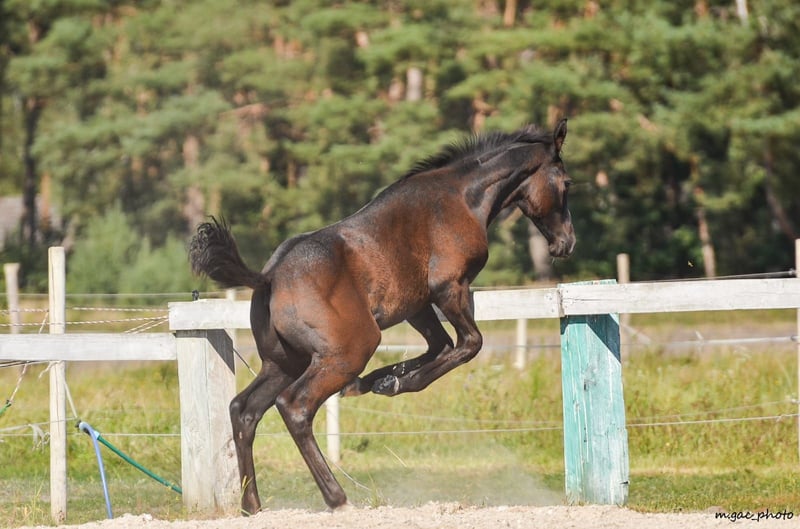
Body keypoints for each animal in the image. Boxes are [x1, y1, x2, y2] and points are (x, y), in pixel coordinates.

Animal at [189, 118, 575, 514]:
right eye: (566, 183)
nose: (566, 243)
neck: (461, 198)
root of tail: (268, 277)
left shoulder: (418, 305)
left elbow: (440, 346)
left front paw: (381, 381)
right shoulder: (449, 288)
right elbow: (469, 344)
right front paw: (396, 382)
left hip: (283, 362)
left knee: (244, 410)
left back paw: (252, 503)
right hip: (349, 351)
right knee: (294, 407)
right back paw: (337, 498)